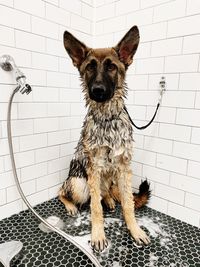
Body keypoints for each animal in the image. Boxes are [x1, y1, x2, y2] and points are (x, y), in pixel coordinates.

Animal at [58, 25, 151, 251]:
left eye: (111, 67)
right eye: (90, 68)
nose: (97, 91)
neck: (108, 119)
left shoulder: (124, 168)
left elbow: (128, 205)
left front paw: (135, 230)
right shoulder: (93, 169)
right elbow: (95, 209)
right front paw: (98, 235)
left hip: (111, 177)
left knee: (105, 193)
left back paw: (108, 199)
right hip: (79, 184)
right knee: (63, 191)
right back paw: (71, 205)